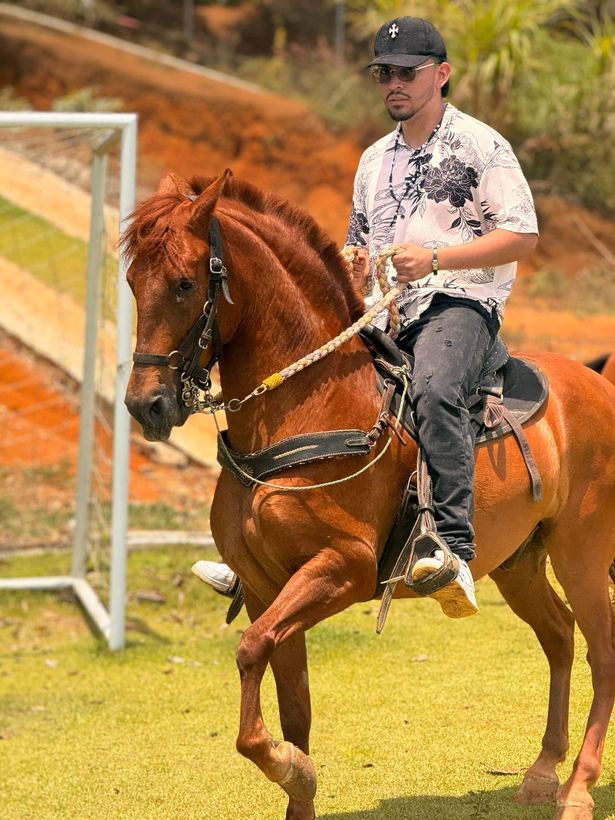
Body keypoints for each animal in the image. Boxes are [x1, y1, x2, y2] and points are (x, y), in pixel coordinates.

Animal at [123, 171, 615, 820]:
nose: (145, 406)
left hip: (582, 554)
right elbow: (291, 697)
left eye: (184, 283)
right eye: (132, 282)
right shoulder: (264, 586)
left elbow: (251, 653)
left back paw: (578, 789)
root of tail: (598, 385)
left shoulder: (343, 568)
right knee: (559, 635)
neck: (308, 407)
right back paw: (540, 774)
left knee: (601, 653)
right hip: (519, 562)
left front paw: (284, 763)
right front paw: (298, 777)